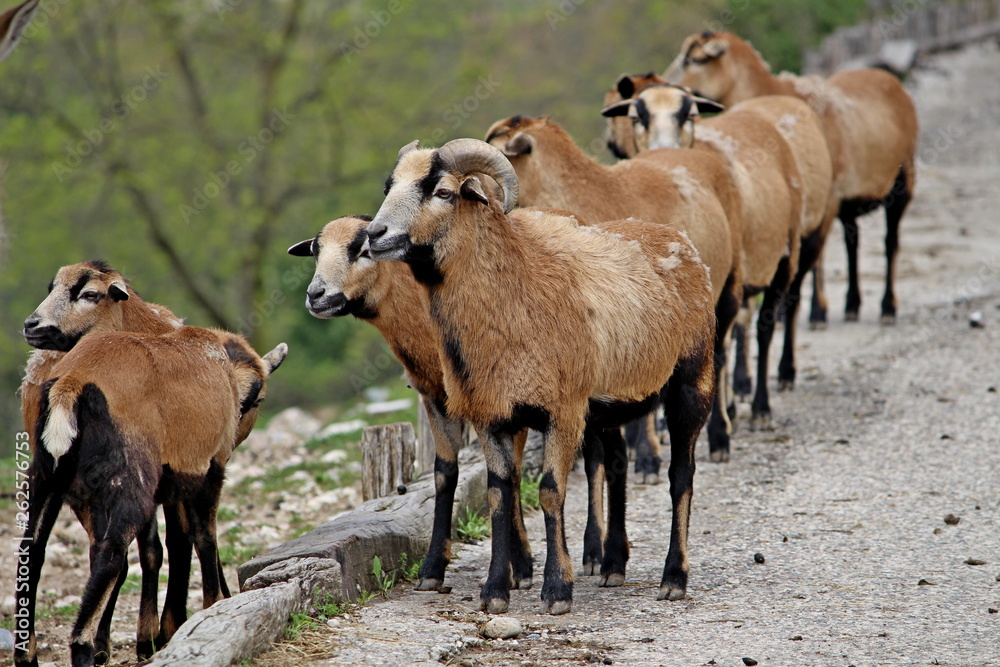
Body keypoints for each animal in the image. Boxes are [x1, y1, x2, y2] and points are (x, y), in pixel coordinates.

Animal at [14, 326, 287, 667]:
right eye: (257, 400)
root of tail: (72, 383)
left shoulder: (169, 484)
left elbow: (162, 547)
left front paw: (155, 635)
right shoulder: (209, 468)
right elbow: (203, 538)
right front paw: (212, 605)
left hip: (46, 476)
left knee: (33, 551)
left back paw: (28, 655)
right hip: (131, 480)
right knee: (111, 555)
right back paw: (83, 647)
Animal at [365, 138, 717, 614]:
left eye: (443, 192)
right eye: (390, 186)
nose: (374, 235)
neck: (515, 291)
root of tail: (680, 239)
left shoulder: (563, 411)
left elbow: (551, 491)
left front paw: (557, 589)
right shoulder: (490, 414)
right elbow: (499, 494)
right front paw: (495, 590)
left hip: (692, 381)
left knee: (682, 474)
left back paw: (673, 578)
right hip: (609, 404)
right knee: (618, 464)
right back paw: (613, 566)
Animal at [602, 79, 837, 422]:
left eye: (691, 115)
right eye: (636, 117)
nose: (663, 147)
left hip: (791, 250)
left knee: (774, 320)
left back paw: (769, 395)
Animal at [667, 30, 919, 325]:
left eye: (695, 60)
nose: (666, 84)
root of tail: (888, 78)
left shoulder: (827, 198)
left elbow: (817, 258)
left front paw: (816, 312)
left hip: (904, 178)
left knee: (891, 242)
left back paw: (888, 307)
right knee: (852, 241)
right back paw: (852, 305)